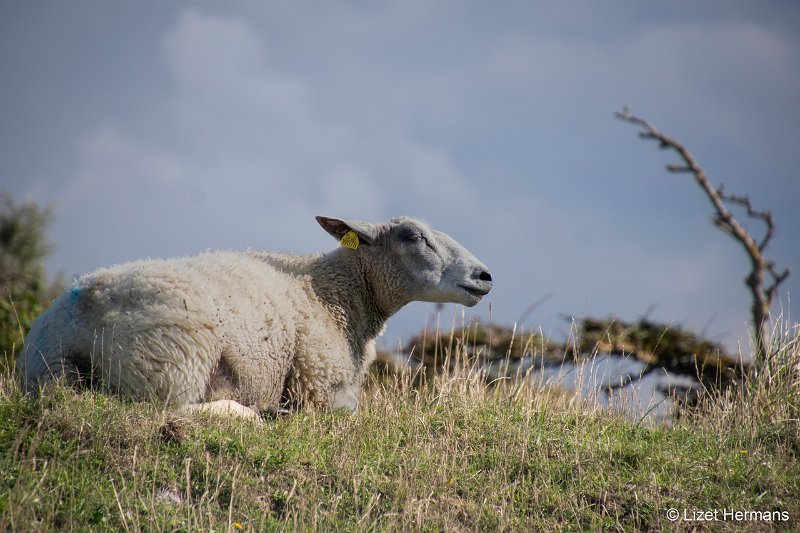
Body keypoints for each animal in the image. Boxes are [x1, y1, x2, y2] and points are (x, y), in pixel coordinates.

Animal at [17, 214, 494, 418]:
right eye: (413, 237)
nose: (484, 276)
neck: (336, 292)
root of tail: (80, 310)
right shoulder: (320, 384)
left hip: (53, 370)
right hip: (171, 361)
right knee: (176, 410)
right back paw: (255, 412)